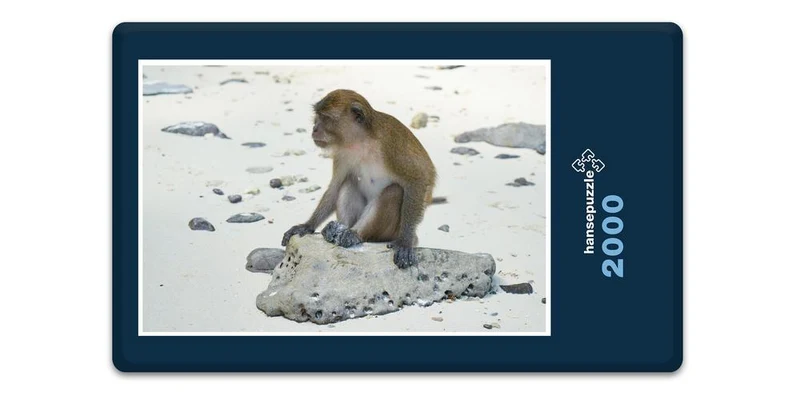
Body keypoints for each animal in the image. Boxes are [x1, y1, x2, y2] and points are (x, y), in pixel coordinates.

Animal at [281, 89, 437, 269]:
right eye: (317, 116)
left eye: (325, 118)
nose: (314, 129)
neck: (362, 140)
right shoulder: (342, 153)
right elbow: (336, 185)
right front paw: (307, 226)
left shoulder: (391, 145)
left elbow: (417, 180)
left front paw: (405, 242)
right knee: (348, 183)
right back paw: (339, 230)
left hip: (391, 231)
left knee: (395, 191)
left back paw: (356, 234)